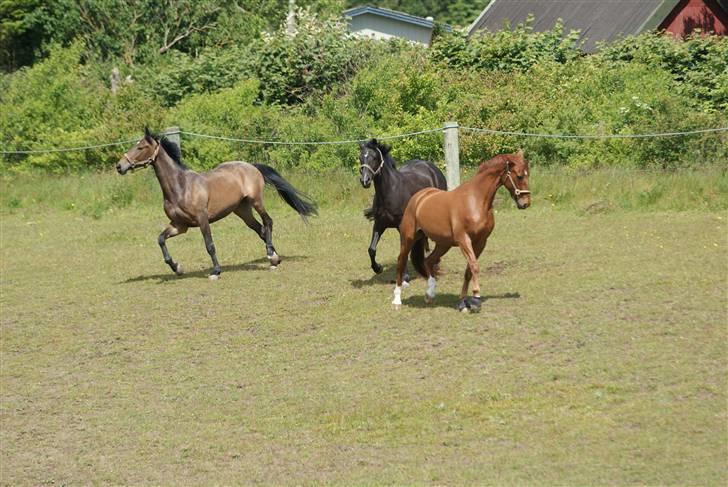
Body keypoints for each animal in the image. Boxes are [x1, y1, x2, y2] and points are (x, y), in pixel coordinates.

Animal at [116, 127, 316, 280]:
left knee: (268, 222)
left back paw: (271, 255)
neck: (180, 187)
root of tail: (251, 166)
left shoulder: (202, 219)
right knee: (260, 229)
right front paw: (177, 268)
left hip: (256, 201)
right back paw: (275, 258)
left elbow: (209, 245)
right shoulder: (179, 225)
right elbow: (160, 239)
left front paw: (216, 271)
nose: (119, 166)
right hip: (242, 211)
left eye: (141, 147)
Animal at [358, 139, 450, 280]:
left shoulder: (401, 224)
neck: (390, 191)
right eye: (360, 158)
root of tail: (432, 168)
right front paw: (378, 268)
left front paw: (404, 275)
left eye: (374, 157)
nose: (365, 181)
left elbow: (403, 248)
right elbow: (371, 249)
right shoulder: (379, 224)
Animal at [392, 152, 528, 312]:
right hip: (408, 238)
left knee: (428, 261)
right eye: (519, 176)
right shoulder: (464, 239)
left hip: (443, 244)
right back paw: (397, 300)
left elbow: (469, 270)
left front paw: (463, 302)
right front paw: (476, 299)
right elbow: (474, 266)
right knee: (401, 262)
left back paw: (430, 294)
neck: (476, 200)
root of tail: (419, 197)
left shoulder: (481, 242)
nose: (525, 203)